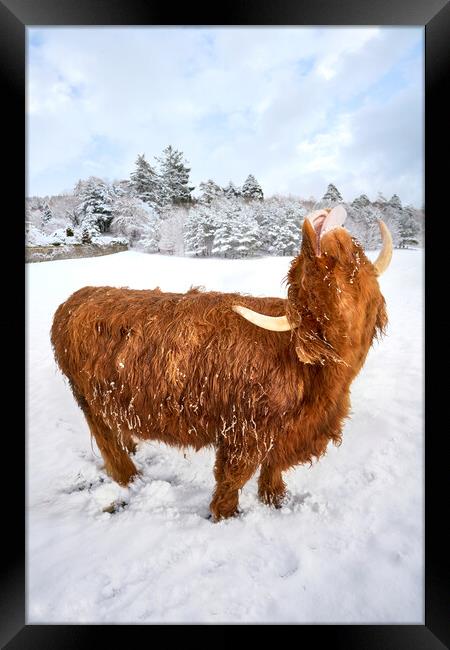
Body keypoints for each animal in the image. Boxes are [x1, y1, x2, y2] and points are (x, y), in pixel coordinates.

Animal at [51, 208, 392, 520]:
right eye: (305, 277)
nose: (313, 225)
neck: (320, 379)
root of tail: (73, 300)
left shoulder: (288, 433)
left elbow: (274, 466)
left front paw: (275, 498)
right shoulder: (244, 431)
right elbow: (233, 478)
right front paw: (224, 515)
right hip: (88, 398)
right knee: (105, 439)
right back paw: (129, 476)